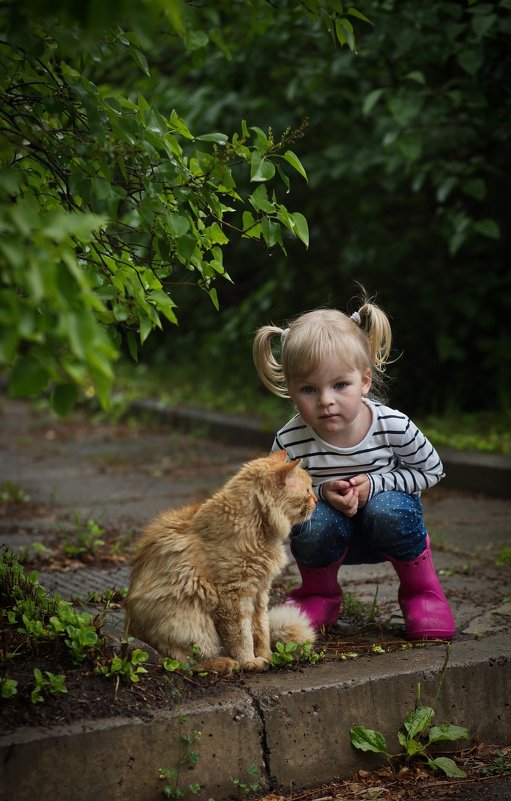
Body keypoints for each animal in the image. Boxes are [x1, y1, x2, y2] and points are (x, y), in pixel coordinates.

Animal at [125, 454, 316, 672]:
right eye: (307, 490)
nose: (317, 500)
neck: (257, 528)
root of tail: (131, 631)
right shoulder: (234, 595)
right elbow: (243, 637)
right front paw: (249, 661)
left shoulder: (260, 592)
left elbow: (261, 631)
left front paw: (267, 656)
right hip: (188, 621)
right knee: (185, 661)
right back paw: (225, 663)